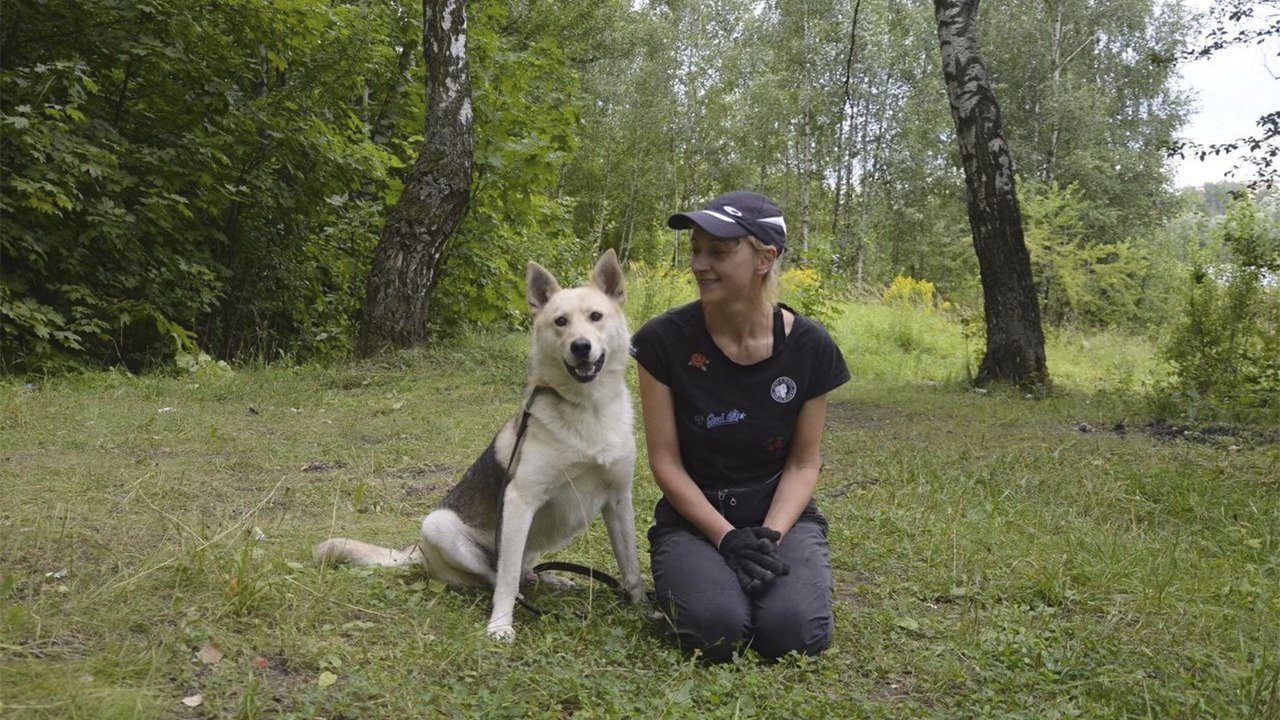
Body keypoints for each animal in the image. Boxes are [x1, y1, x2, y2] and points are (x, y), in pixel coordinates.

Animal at [314, 251, 645, 638]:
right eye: (560, 321)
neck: (588, 408)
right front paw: (500, 625)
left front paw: (646, 609)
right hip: (440, 525)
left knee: (523, 571)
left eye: (595, 316)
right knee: (500, 575)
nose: (581, 347)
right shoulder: (519, 501)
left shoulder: (618, 500)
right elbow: (505, 580)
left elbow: (632, 566)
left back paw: (550, 580)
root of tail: (416, 551)